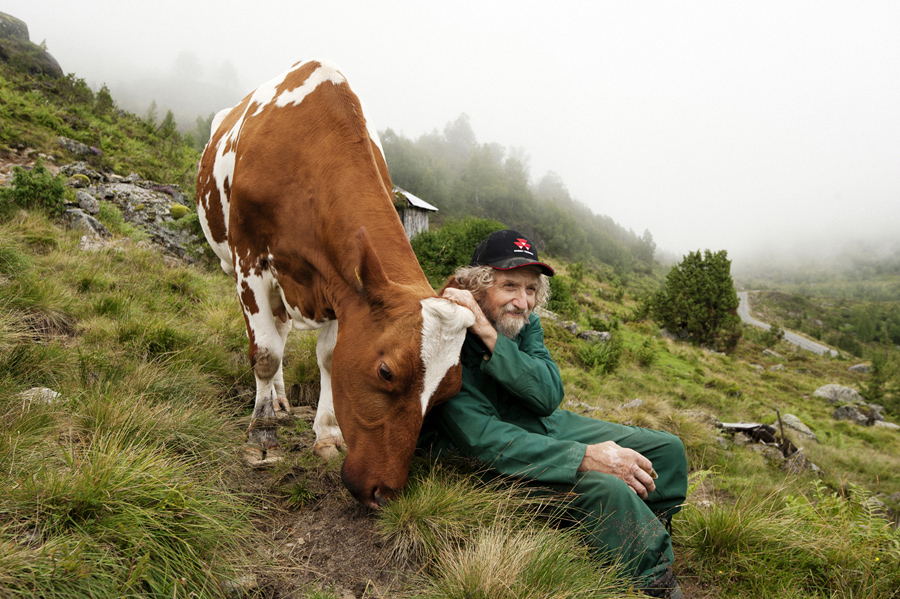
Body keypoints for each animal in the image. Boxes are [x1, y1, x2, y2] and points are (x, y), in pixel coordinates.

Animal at [196, 61, 474, 508]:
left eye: (449, 390)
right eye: (386, 371)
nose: (385, 492)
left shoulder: (339, 287)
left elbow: (329, 357)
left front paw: (327, 435)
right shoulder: (249, 263)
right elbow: (265, 354)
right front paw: (262, 439)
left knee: (283, 329)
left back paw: (281, 400)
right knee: (272, 340)